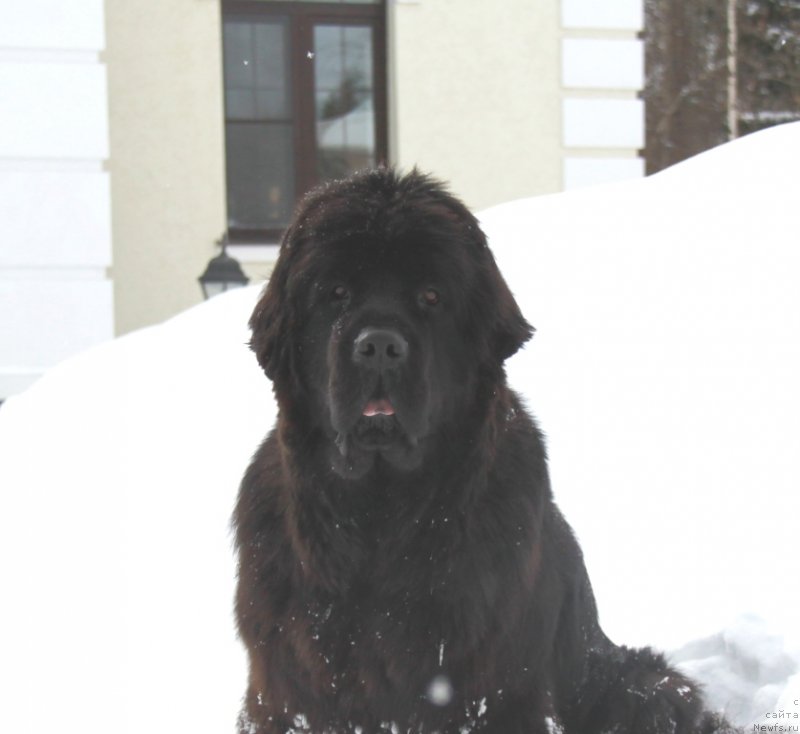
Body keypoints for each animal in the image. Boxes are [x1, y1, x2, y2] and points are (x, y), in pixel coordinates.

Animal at [231, 168, 732, 734]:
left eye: (430, 296)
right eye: (335, 292)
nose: (379, 344)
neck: (381, 514)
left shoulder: (493, 691)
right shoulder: (286, 695)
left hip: (641, 687)